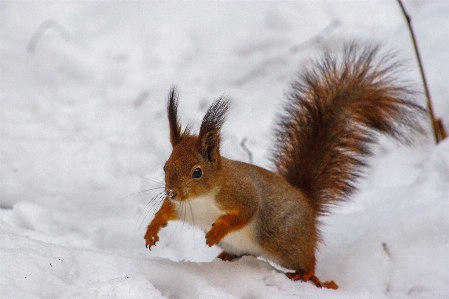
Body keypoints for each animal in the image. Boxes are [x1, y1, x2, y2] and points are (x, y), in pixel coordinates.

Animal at [144, 43, 424, 290]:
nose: (172, 192)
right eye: (165, 166)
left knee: (307, 260)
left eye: (197, 172)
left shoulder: (242, 194)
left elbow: (246, 212)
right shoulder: (182, 207)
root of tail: (307, 202)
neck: (200, 199)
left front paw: (216, 232)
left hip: (283, 243)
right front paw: (152, 230)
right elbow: (166, 212)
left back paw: (310, 276)